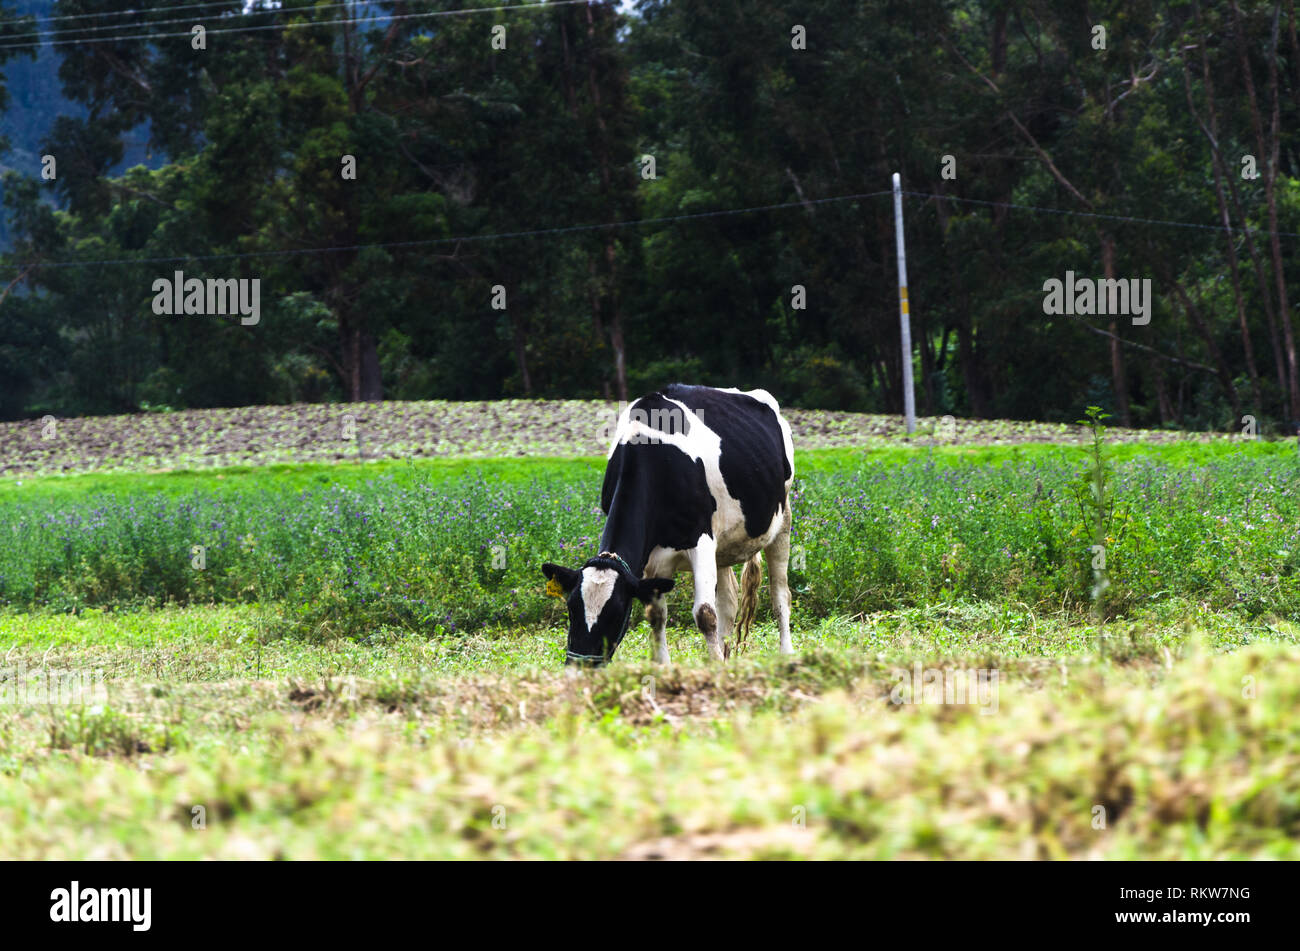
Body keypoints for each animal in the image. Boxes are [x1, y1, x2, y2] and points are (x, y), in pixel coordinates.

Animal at [538, 381, 790, 665]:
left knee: (780, 595)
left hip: (783, 520)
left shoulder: (702, 540)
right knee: (729, 600)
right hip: (724, 543)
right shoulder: (652, 557)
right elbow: (656, 615)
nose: (579, 666)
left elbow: (705, 614)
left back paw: (786, 653)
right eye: (571, 609)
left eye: (615, 613)